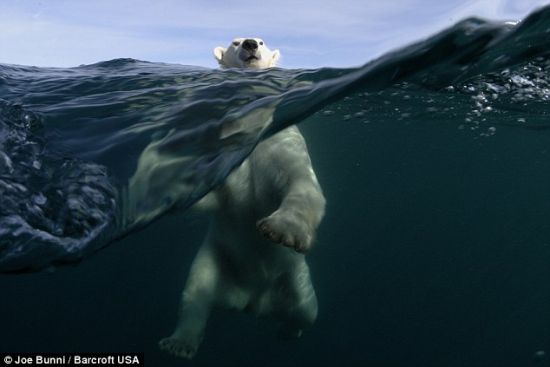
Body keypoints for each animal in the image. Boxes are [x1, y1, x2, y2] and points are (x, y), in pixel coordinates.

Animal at [157, 38, 326, 360]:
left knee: (306, 310)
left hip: (295, 277)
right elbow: (213, 196)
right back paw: (178, 343)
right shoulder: (224, 150)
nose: (249, 44)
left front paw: (282, 229)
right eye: (235, 42)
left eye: (261, 41)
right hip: (216, 259)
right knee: (196, 293)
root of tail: (253, 301)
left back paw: (288, 331)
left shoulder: (280, 142)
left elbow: (300, 182)